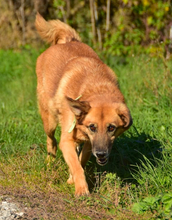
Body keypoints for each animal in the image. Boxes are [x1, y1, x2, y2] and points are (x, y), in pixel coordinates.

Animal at [34, 13, 132, 196]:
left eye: (111, 128)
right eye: (92, 126)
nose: (101, 154)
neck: (97, 88)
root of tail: (67, 40)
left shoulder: (88, 143)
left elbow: (81, 160)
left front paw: (72, 179)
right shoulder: (67, 140)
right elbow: (76, 165)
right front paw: (81, 189)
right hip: (49, 121)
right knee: (51, 140)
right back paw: (50, 160)